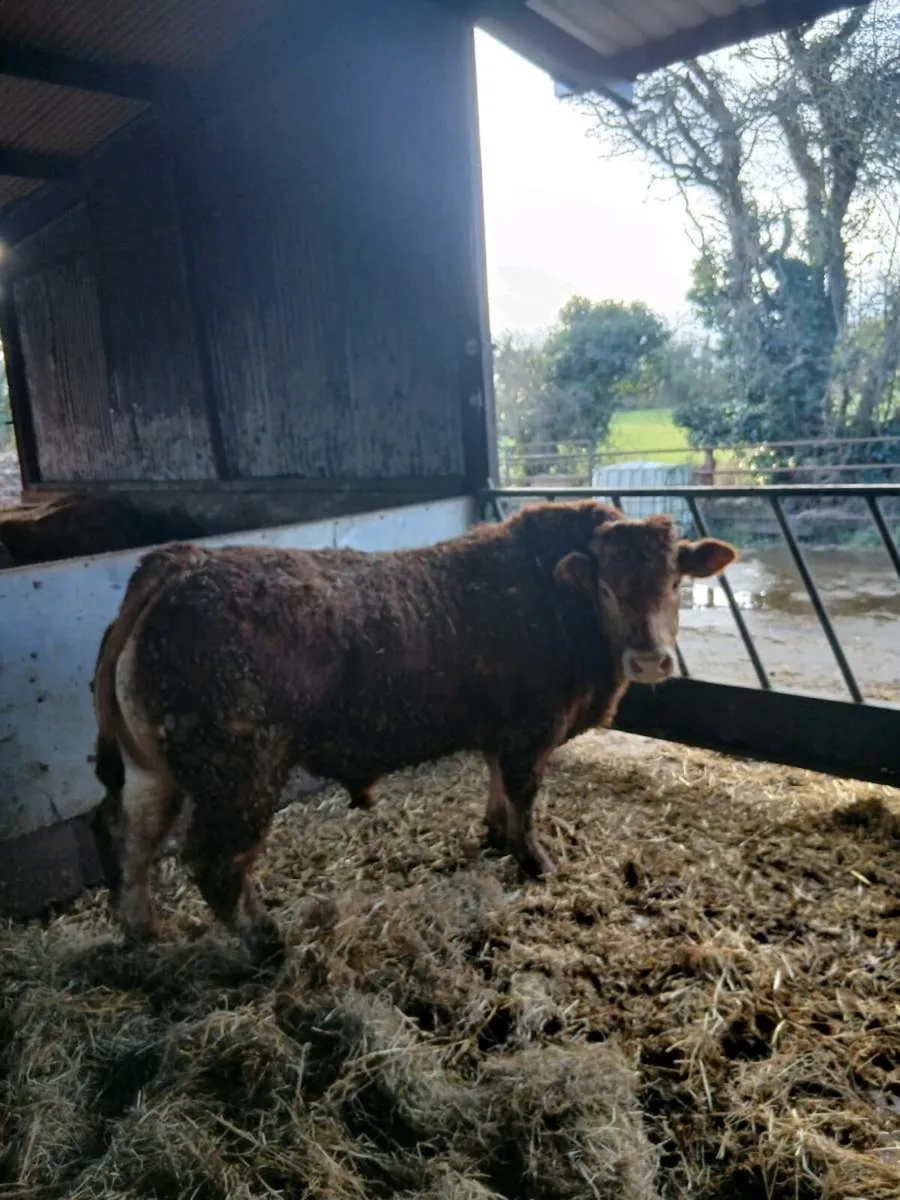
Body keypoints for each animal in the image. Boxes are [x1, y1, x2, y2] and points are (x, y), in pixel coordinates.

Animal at [90, 501, 736, 965]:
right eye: (606, 587)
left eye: (674, 583)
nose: (650, 659)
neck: (552, 597)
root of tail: (179, 564)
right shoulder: (532, 730)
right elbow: (524, 796)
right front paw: (536, 860)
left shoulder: (500, 730)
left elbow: (497, 785)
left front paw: (496, 834)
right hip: (241, 775)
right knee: (216, 861)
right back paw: (270, 943)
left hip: (152, 769)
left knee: (132, 837)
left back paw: (144, 933)